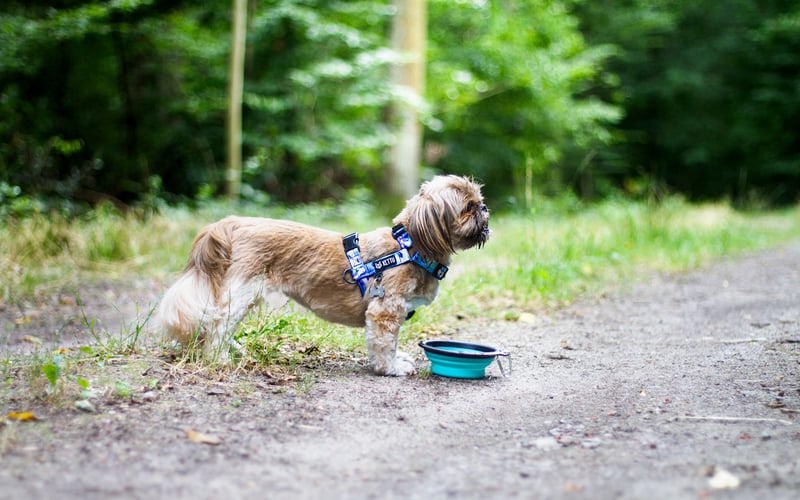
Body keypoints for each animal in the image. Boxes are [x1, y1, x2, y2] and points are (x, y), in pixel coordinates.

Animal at [156, 176, 488, 376]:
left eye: (479, 200)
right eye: (467, 207)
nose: (484, 208)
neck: (409, 246)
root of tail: (236, 223)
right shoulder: (385, 311)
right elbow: (385, 344)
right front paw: (391, 367)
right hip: (243, 291)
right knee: (218, 324)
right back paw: (219, 358)